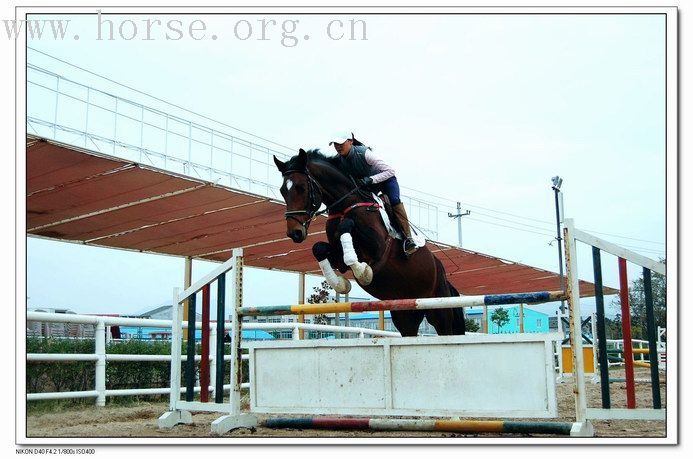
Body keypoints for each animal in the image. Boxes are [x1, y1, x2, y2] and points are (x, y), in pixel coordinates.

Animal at [272, 149, 464, 336]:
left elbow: (347, 227)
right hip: (405, 314)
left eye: (301, 188)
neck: (346, 205)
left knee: (446, 332)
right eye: (282, 191)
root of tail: (443, 274)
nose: (295, 233)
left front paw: (363, 272)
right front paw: (341, 283)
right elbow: (318, 248)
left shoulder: (377, 247)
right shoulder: (337, 258)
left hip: (439, 309)